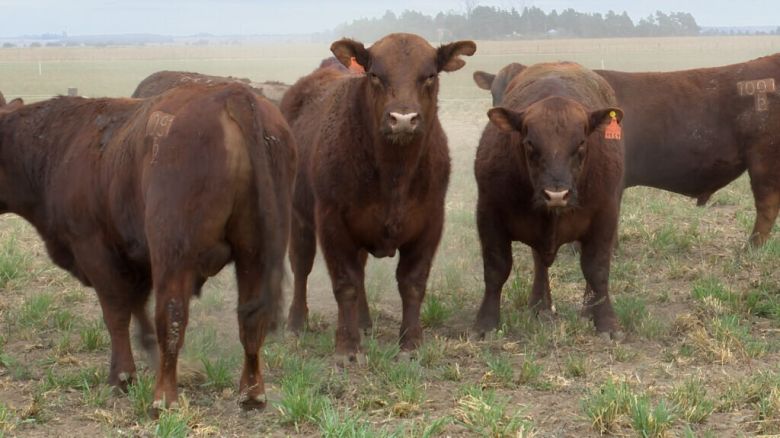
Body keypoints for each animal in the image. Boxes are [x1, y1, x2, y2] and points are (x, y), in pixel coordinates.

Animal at [0, 81, 298, 410]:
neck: (61, 145)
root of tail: (232, 94)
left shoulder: (94, 249)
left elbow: (117, 313)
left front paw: (122, 376)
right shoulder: (136, 257)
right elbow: (137, 306)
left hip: (173, 254)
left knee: (172, 316)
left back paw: (163, 399)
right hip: (255, 252)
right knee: (251, 318)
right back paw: (252, 393)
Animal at [280, 33, 476, 362]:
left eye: (430, 75)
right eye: (374, 75)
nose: (403, 119)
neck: (394, 173)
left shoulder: (430, 222)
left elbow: (412, 283)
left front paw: (410, 343)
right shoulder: (332, 222)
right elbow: (344, 283)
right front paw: (347, 347)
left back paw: (364, 321)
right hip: (299, 217)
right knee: (301, 266)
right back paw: (296, 322)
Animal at [472, 61, 624, 338]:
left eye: (581, 143)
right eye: (530, 143)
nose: (556, 194)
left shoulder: (605, 215)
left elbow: (597, 269)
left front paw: (606, 322)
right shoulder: (488, 213)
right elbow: (496, 269)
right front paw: (485, 323)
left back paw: (588, 309)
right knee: (539, 263)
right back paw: (540, 305)